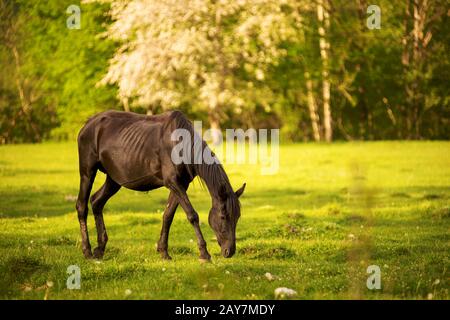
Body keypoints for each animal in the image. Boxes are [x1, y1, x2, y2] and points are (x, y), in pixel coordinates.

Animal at [77, 110, 246, 260]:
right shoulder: (173, 183)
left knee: (96, 202)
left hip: (114, 180)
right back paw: (87, 251)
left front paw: (164, 252)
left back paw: (100, 249)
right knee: (82, 206)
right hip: (87, 173)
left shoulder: (181, 185)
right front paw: (204, 253)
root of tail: (88, 124)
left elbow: (167, 216)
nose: (229, 251)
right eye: (223, 216)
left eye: (237, 216)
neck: (180, 145)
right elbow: (192, 215)